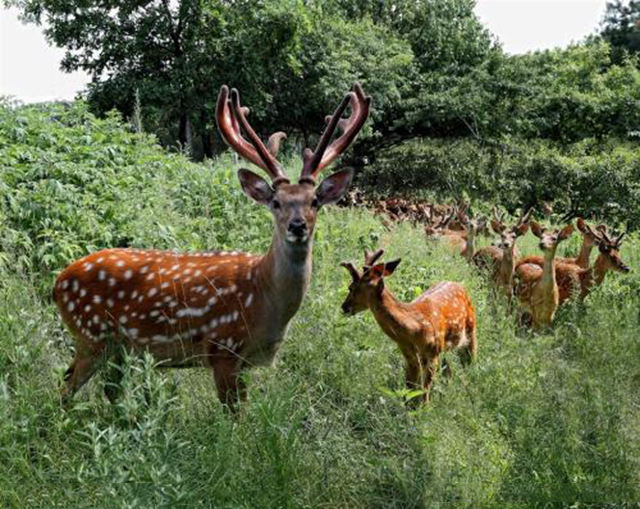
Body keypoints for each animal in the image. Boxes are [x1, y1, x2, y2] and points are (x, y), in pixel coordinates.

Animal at [54, 84, 372, 408]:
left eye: (315, 201)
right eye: (276, 202)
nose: (297, 226)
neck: (262, 296)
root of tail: (57, 284)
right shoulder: (223, 348)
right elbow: (235, 416)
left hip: (114, 347)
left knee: (104, 390)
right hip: (92, 335)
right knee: (65, 391)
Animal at [340, 249, 476, 404]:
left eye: (351, 287)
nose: (344, 307)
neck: (413, 331)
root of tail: (460, 284)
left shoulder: (432, 353)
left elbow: (424, 391)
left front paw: (425, 408)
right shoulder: (409, 356)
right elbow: (410, 389)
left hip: (471, 328)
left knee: (469, 362)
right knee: (449, 369)